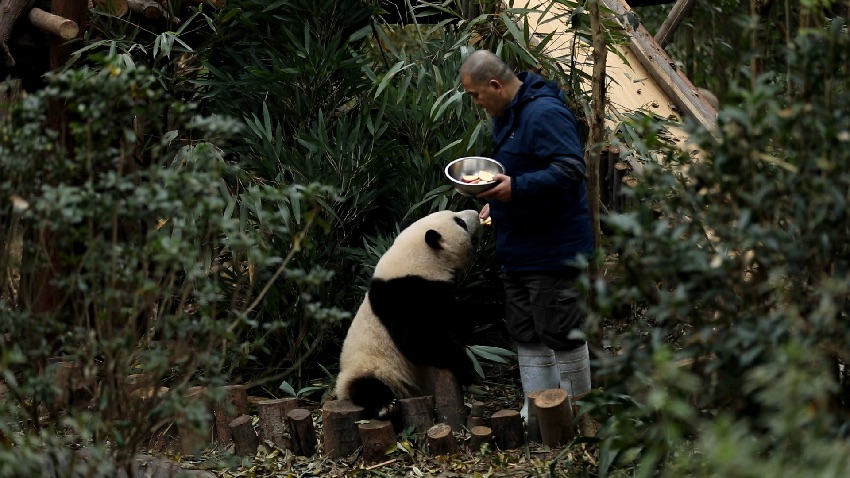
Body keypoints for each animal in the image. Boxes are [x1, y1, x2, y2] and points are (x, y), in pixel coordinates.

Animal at [338, 209, 484, 422]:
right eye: (460, 222)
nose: (475, 213)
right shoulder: (404, 298)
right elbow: (417, 339)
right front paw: (466, 369)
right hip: (369, 367)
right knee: (366, 385)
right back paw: (385, 406)